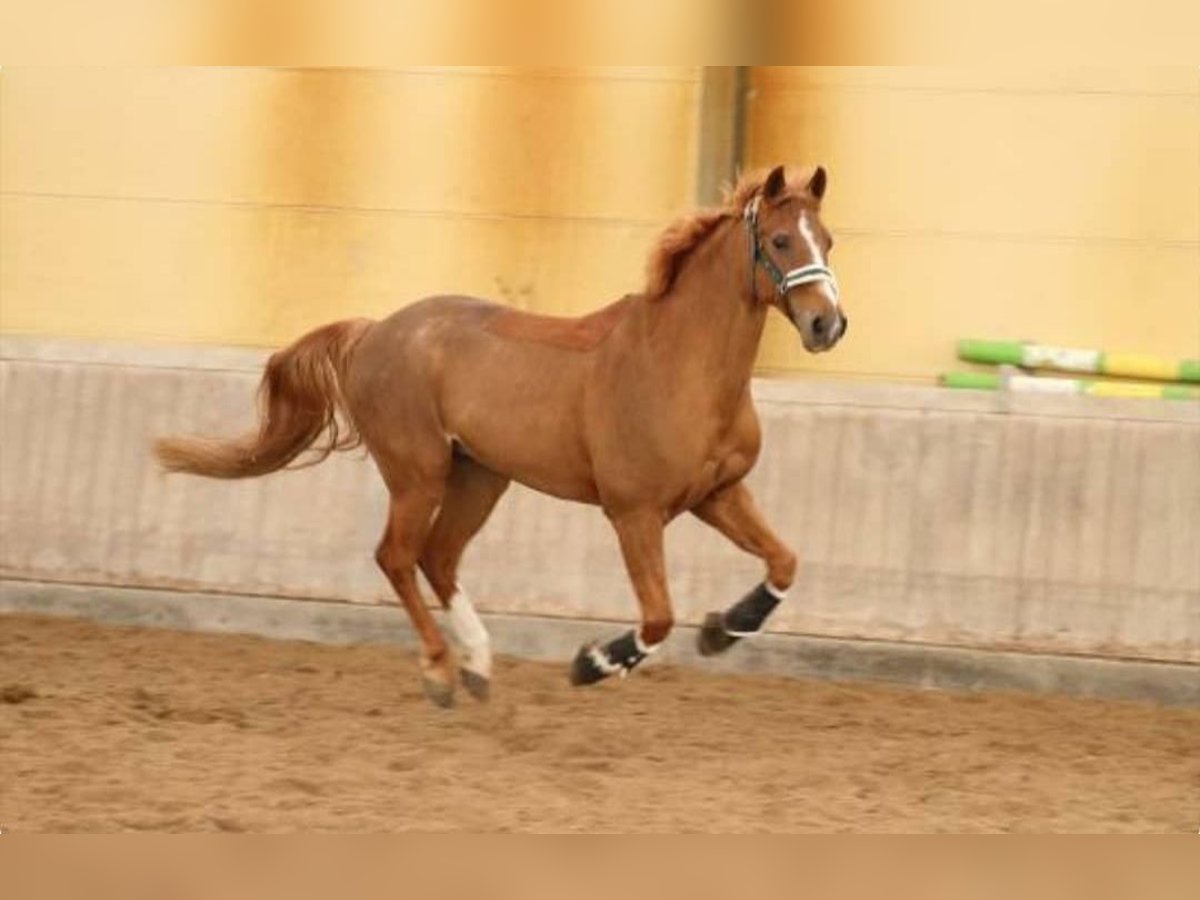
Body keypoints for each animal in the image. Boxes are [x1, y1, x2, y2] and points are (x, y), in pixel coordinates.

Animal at [154, 165, 849, 710]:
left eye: (828, 239)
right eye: (780, 239)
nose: (828, 325)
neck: (680, 365)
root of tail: (374, 332)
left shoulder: (718, 493)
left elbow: (784, 561)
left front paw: (723, 629)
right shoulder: (634, 512)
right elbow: (657, 617)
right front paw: (593, 663)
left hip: (481, 476)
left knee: (438, 557)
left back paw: (479, 667)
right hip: (418, 474)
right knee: (398, 557)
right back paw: (441, 672)